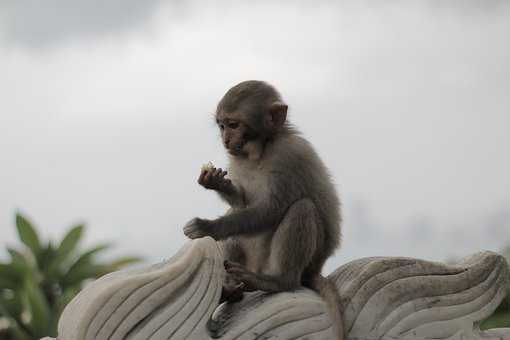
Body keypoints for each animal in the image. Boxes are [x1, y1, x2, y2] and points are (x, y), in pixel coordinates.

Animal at [181, 80, 344, 340]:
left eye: (234, 125)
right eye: (221, 125)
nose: (225, 139)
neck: (259, 151)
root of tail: (316, 270)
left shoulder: (288, 155)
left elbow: (271, 210)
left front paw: (209, 227)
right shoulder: (237, 160)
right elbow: (240, 203)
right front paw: (218, 182)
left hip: (298, 262)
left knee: (302, 208)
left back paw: (278, 282)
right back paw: (229, 291)